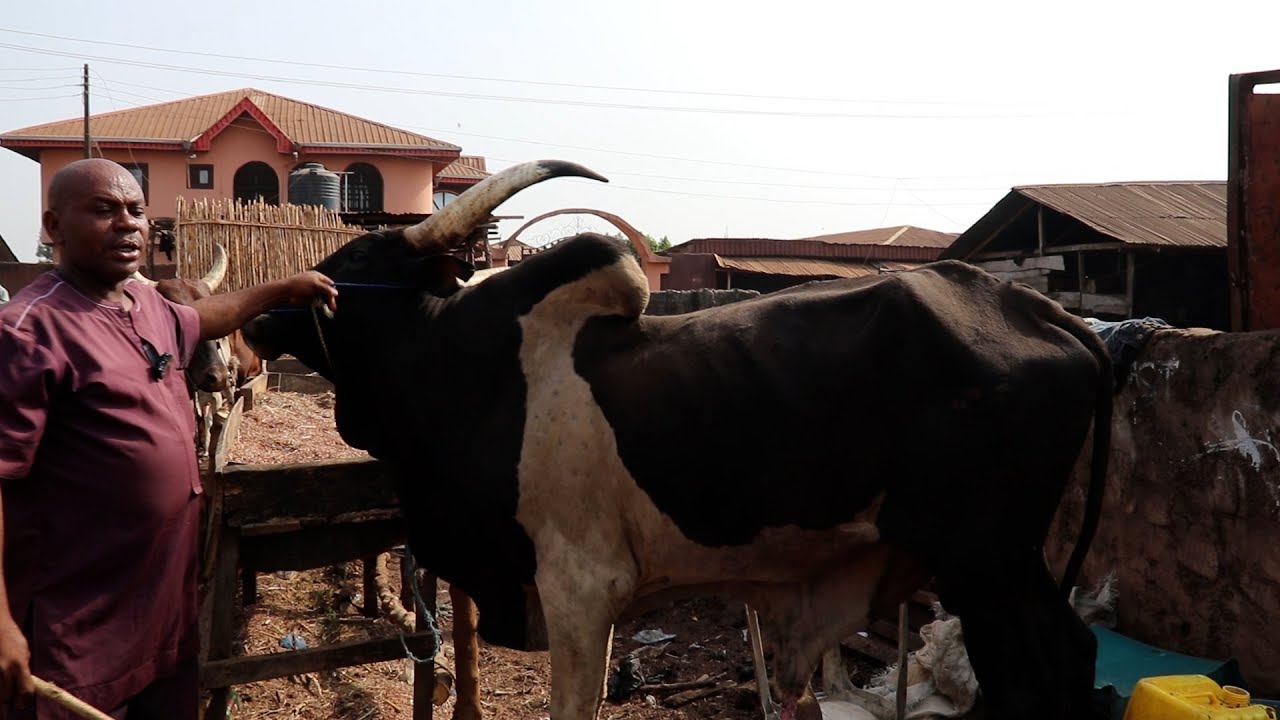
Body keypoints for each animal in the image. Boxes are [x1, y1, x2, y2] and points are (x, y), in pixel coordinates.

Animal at [240, 160, 1113, 720]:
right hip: (996, 563)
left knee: (1042, 673)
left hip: (986, 559)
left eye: (357, 254)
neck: (463, 373)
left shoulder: (580, 588)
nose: (260, 314)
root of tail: (1041, 311)